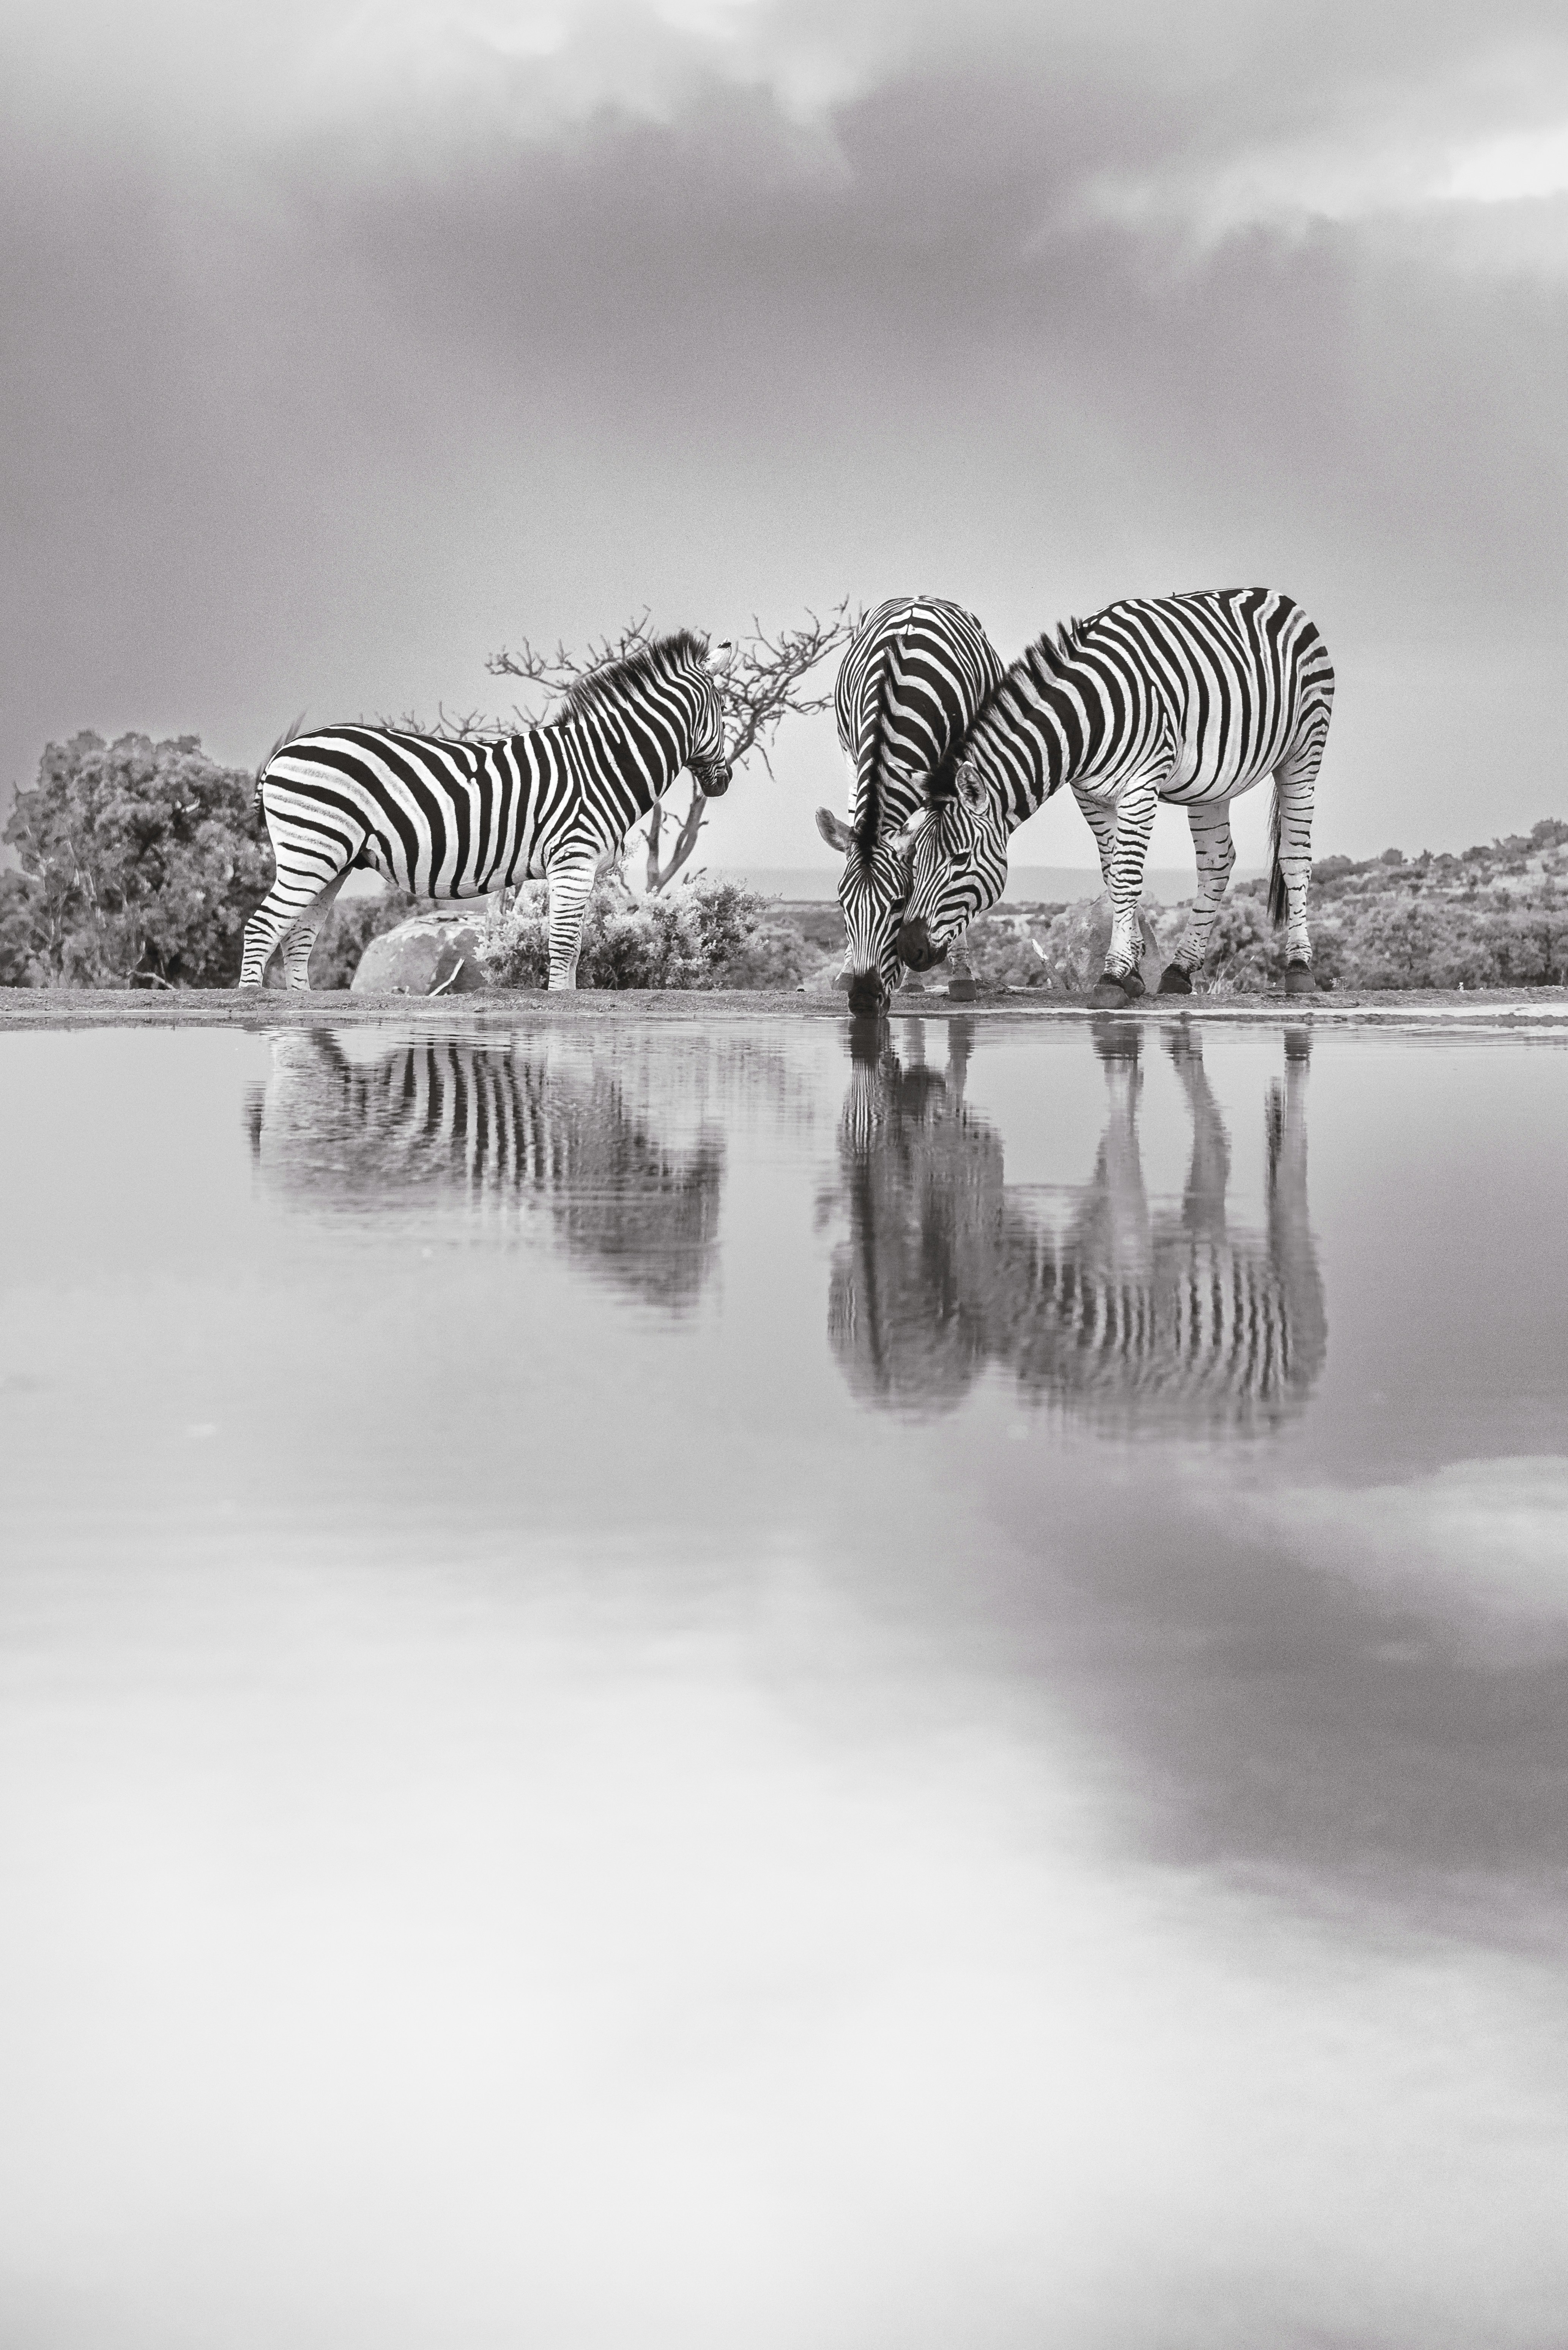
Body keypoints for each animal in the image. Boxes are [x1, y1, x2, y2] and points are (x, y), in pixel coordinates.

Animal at [239, 631, 733, 992]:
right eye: (724, 713)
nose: (724, 782)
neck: (601, 764)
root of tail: (285, 753)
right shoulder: (573, 859)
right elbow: (565, 945)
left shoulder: (578, 866)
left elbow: (574, 948)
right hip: (311, 850)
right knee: (263, 927)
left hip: (330, 860)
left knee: (297, 938)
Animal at [812, 596, 1005, 1015]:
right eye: (841, 904)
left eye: (899, 904)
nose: (863, 1002)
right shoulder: (857, 756)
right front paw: (852, 970)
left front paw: (959, 976)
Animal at [893, 588, 1335, 1007]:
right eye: (914, 859)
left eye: (960, 858)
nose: (909, 949)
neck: (1084, 718)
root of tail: (1275, 595)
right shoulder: (1089, 795)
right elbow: (1113, 874)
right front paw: (1134, 973)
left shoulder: (1140, 786)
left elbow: (1125, 878)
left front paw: (1111, 977)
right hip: (1214, 782)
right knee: (1217, 862)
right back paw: (1178, 970)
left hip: (1304, 753)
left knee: (1294, 857)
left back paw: (1299, 969)